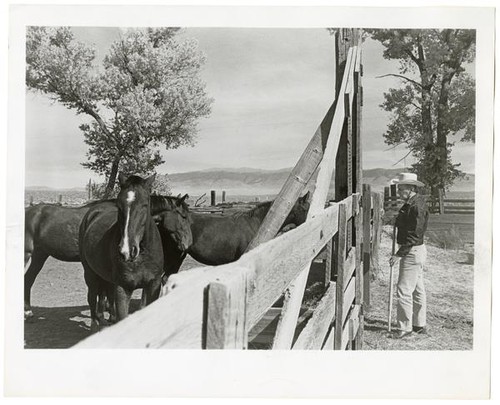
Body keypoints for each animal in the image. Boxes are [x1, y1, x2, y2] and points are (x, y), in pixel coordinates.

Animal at [79, 172, 185, 330]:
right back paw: (95, 326)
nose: (127, 250)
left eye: (145, 205)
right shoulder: (123, 289)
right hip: (90, 272)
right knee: (92, 297)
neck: (142, 256)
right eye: (119, 206)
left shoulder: (152, 285)